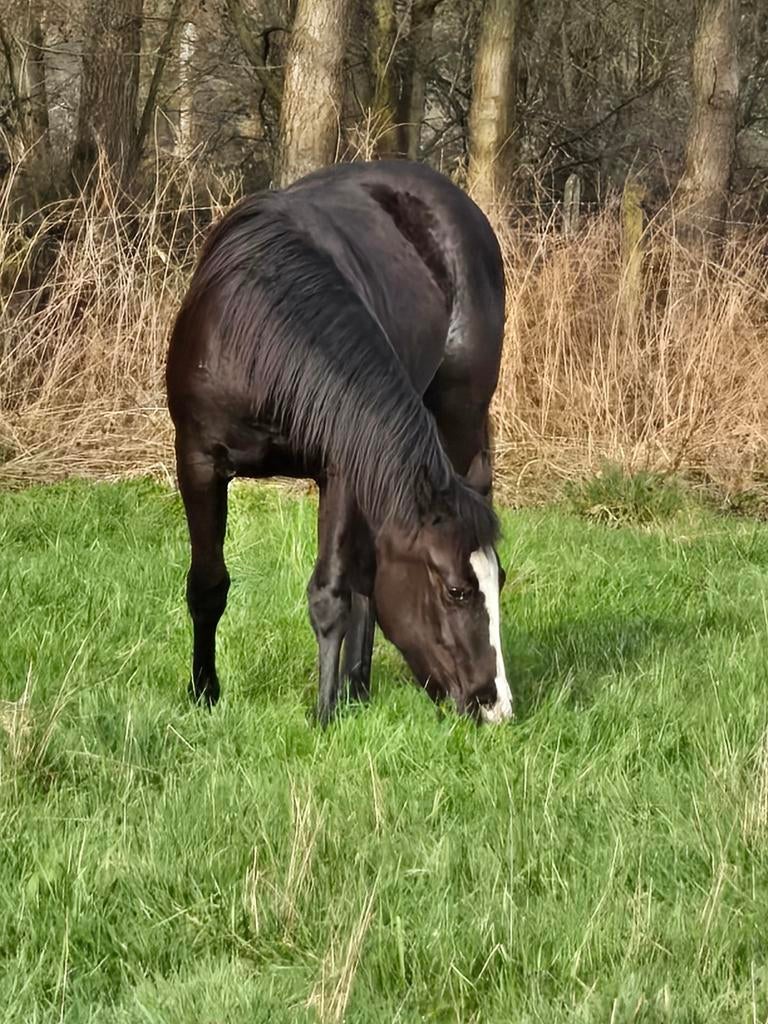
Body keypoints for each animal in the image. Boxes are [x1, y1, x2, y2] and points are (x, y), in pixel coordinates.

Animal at [166, 159, 513, 726]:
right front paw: (204, 694)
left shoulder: (343, 470)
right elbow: (208, 584)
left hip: (458, 420)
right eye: (458, 592)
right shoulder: (197, 462)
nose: (495, 705)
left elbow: (332, 594)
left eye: (499, 581)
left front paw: (324, 713)